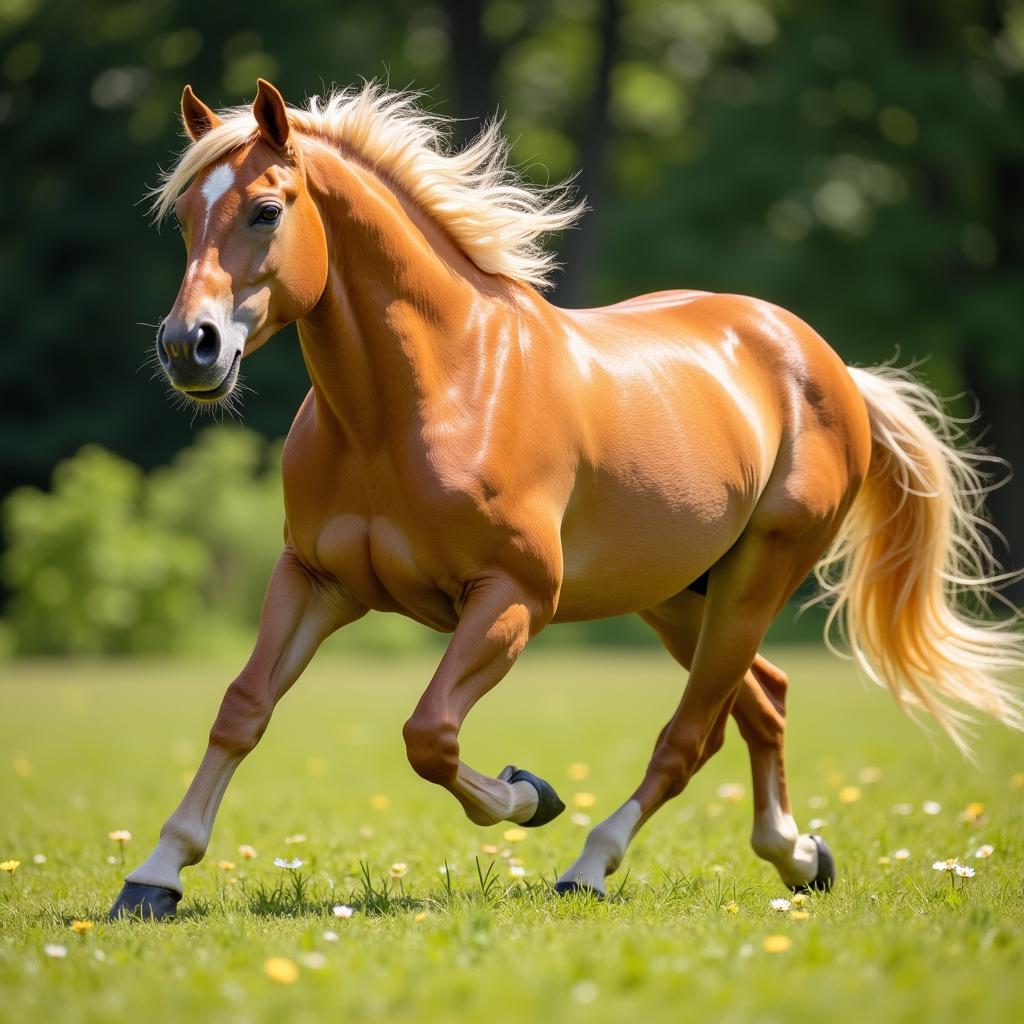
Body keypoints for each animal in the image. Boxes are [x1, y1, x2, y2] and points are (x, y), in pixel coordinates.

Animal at [108, 81, 1019, 921]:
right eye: (184, 215)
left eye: (266, 210)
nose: (189, 347)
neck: (422, 399)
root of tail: (828, 365)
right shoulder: (314, 581)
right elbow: (243, 709)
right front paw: (154, 876)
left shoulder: (514, 598)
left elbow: (429, 735)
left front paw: (529, 793)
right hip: (678, 597)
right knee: (763, 703)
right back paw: (798, 856)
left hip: (755, 581)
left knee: (689, 738)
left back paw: (591, 864)